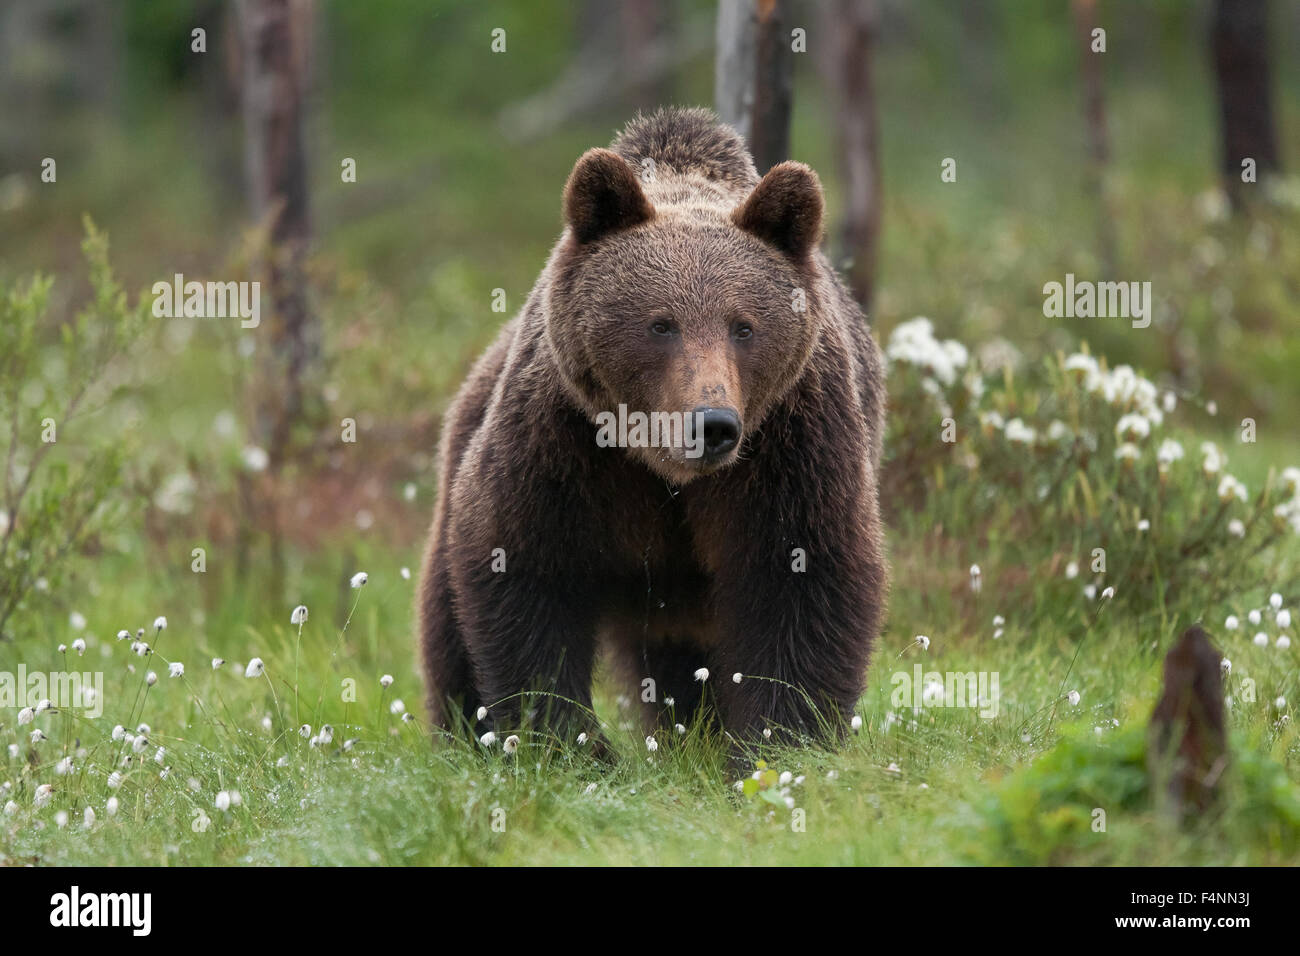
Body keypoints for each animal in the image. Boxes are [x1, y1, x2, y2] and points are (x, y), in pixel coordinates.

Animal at [418, 107, 888, 760]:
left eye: (744, 326)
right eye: (661, 324)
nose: (712, 425)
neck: (662, 469)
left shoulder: (791, 443)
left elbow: (803, 575)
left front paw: (779, 742)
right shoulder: (562, 441)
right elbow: (526, 567)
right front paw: (568, 745)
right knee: (447, 619)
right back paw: (464, 732)